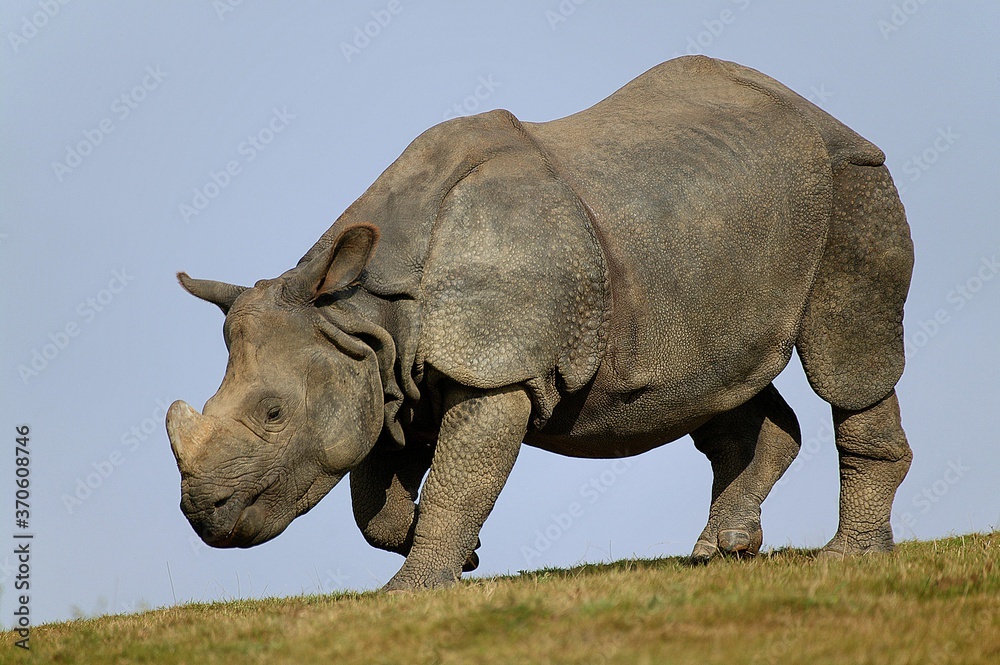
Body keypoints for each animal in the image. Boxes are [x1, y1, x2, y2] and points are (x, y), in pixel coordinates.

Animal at [166, 56, 913, 590]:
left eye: (272, 414)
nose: (203, 514)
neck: (360, 306)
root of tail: (817, 111)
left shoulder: (496, 368)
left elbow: (460, 478)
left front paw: (414, 589)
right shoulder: (380, 369)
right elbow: (373, 505)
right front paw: (461, 556)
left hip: (851, 181)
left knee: (847, 362)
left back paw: (846, 559)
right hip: (707, 228)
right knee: (721, 382)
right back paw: (721, 552)